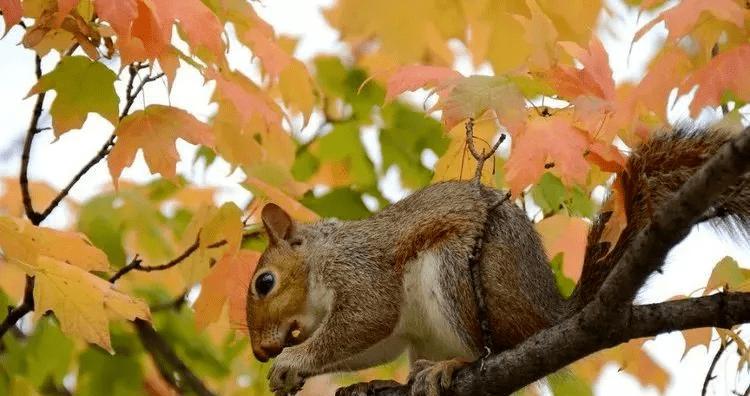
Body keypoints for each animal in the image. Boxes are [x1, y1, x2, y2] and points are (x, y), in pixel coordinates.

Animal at [244, 127, 750, 396]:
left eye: (264, 283)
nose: (260, 351)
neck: (322, 259)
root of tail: (548, 313)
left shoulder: (361, 271)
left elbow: (368, 317)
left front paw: (291, 362)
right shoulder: (387, 330)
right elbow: (375, 343)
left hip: (457, 274)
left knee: (492, 349)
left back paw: (452, 367)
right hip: (426, 333)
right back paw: (388, 383)